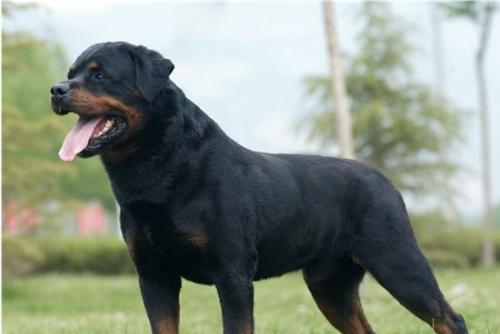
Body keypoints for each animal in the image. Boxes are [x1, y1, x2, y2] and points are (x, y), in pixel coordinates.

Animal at [48, 42, 466, 334]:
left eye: (100, 75)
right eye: (71, 73)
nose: (56, 89)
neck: (160, 168)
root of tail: (381, 177)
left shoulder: (232, 273)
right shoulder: (154, 274)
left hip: (398, 262)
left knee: (449, 318)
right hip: (330, 285)